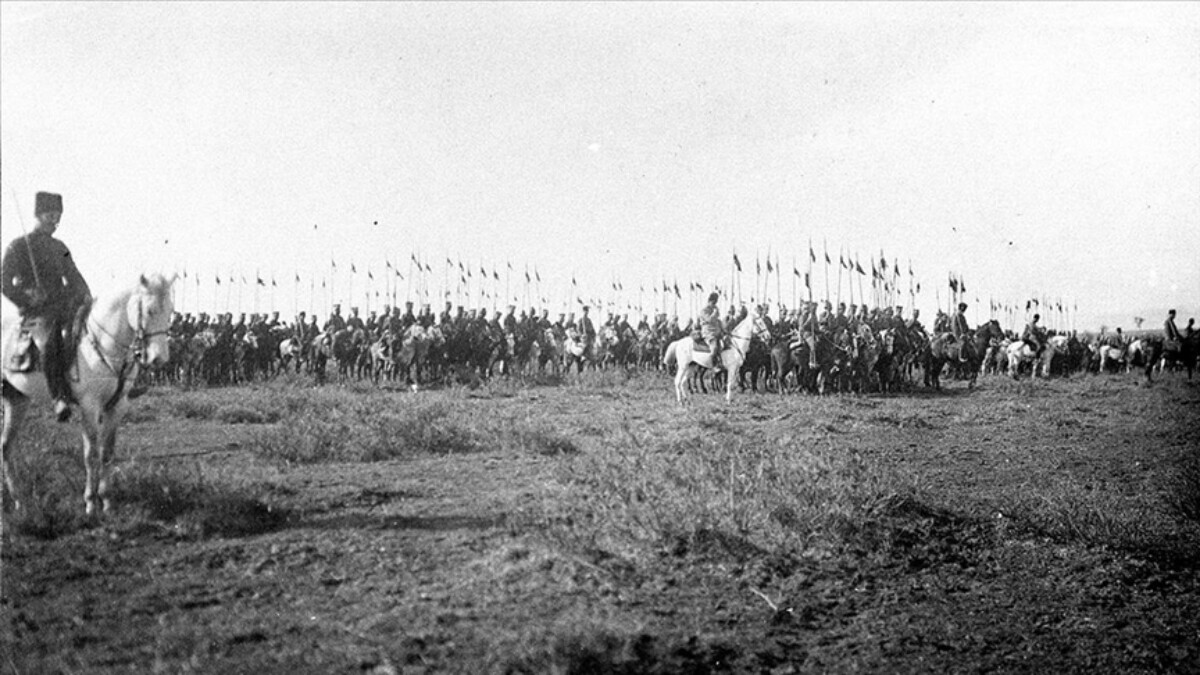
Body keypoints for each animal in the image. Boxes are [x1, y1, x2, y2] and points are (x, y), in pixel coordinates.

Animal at [1, 273, 175, 514]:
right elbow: (90, 454)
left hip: (16, 399)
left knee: (6, 446)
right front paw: (91, 504)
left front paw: (107, 502)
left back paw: (19, 501)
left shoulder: (117, 406)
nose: (159, 358)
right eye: (149, 310)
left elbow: (107, 453)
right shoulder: (89, 406)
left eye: (171, 311)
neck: (105, 343)